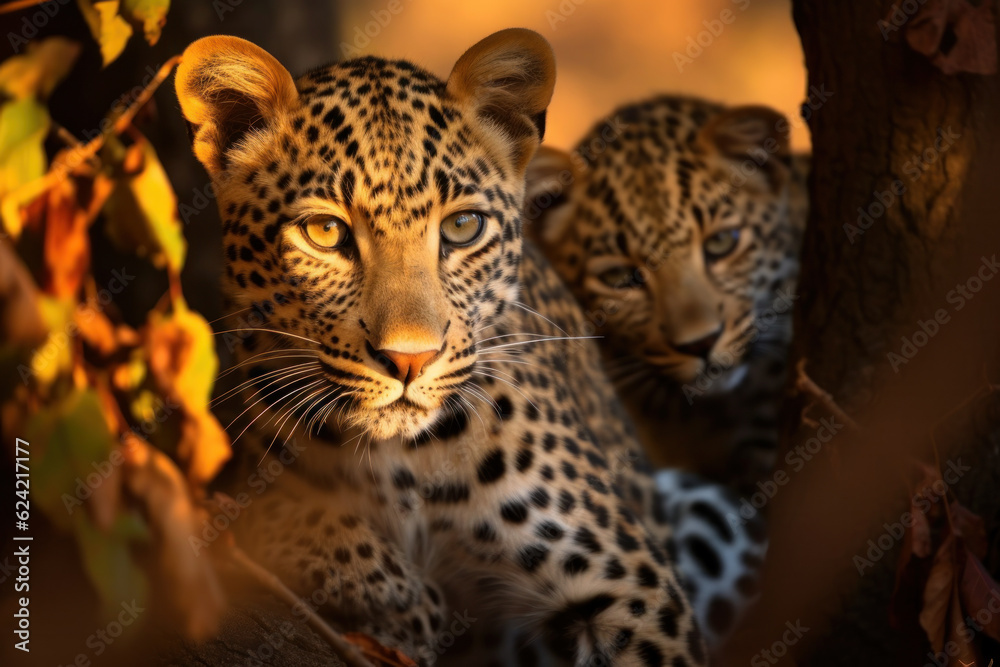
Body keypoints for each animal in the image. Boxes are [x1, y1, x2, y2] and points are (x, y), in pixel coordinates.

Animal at [175, 31, 758, 665]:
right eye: (324, 233)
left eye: (463, 228)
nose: (410, 359)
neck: (400, 467)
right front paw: (391, 595)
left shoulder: (631, 588)